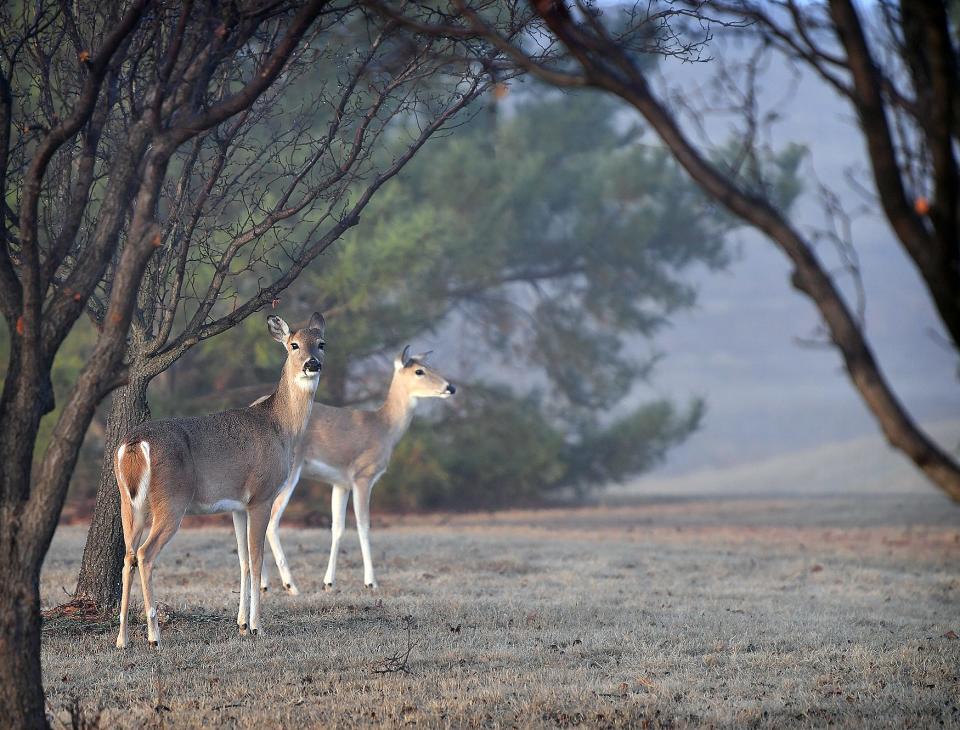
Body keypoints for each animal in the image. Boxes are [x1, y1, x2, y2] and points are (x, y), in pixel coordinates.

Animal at [113, 310, 326, 644]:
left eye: (321, 343)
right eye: (293, 345)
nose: (312, 363)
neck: (280, 427)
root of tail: (134, 443)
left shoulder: (238, 505)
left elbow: (243, 561)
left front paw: (241, 624)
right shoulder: (262, 495)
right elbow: (257, 559)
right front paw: (257, 626)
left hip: (129, 501)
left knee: (128, 556)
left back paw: (122, 639)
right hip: (172, 500)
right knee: (146, 554)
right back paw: (153, 635)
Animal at [260, 346, 456, 592]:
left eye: (430, 366)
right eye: (419, 371)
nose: (450, 387)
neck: (384, 427)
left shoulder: (341, 483)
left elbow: (337, 528)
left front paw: (329, 582)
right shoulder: (363, 475)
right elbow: (364, 526)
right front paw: (371, 582)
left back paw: (264, 584)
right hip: (290, 470)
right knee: (271, 522)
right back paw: (290, 585)